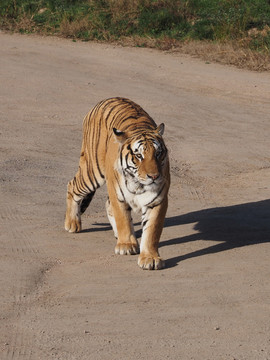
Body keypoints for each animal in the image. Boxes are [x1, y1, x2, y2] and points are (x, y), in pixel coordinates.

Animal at [65, 97, 170, 268]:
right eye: (139, 156)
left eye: (158, 153)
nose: (154, 176)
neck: (138, 184)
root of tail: (106, 100)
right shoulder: (118, 195)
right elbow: (123, 219)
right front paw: (127, 245)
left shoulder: (157, 201)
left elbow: (152, 231)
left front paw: (150, 258)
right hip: (93, 172)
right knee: (72, 185)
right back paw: (72, 224)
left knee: (107, 204)